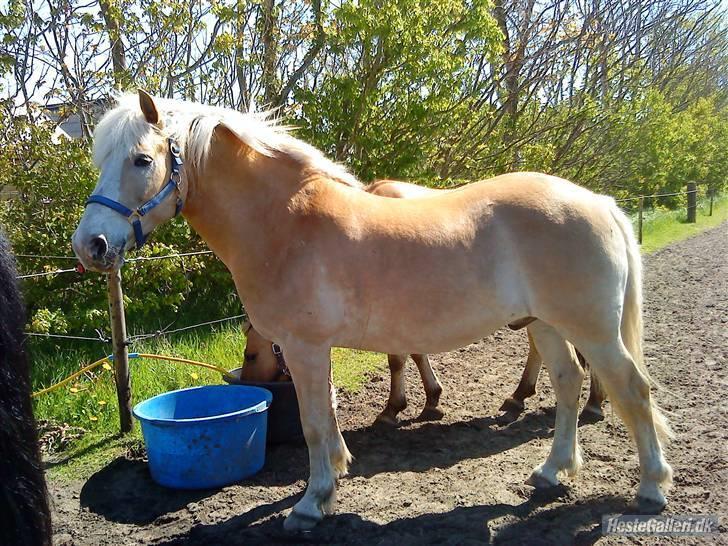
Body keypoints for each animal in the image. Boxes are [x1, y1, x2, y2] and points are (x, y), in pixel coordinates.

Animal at [236, 178, 604, 420]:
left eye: (251, 355)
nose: (254, 387)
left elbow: (399, 359)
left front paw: (396, 407)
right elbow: (414, 354)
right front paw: (430, 398)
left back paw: (590, 402)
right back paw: (524, 396)